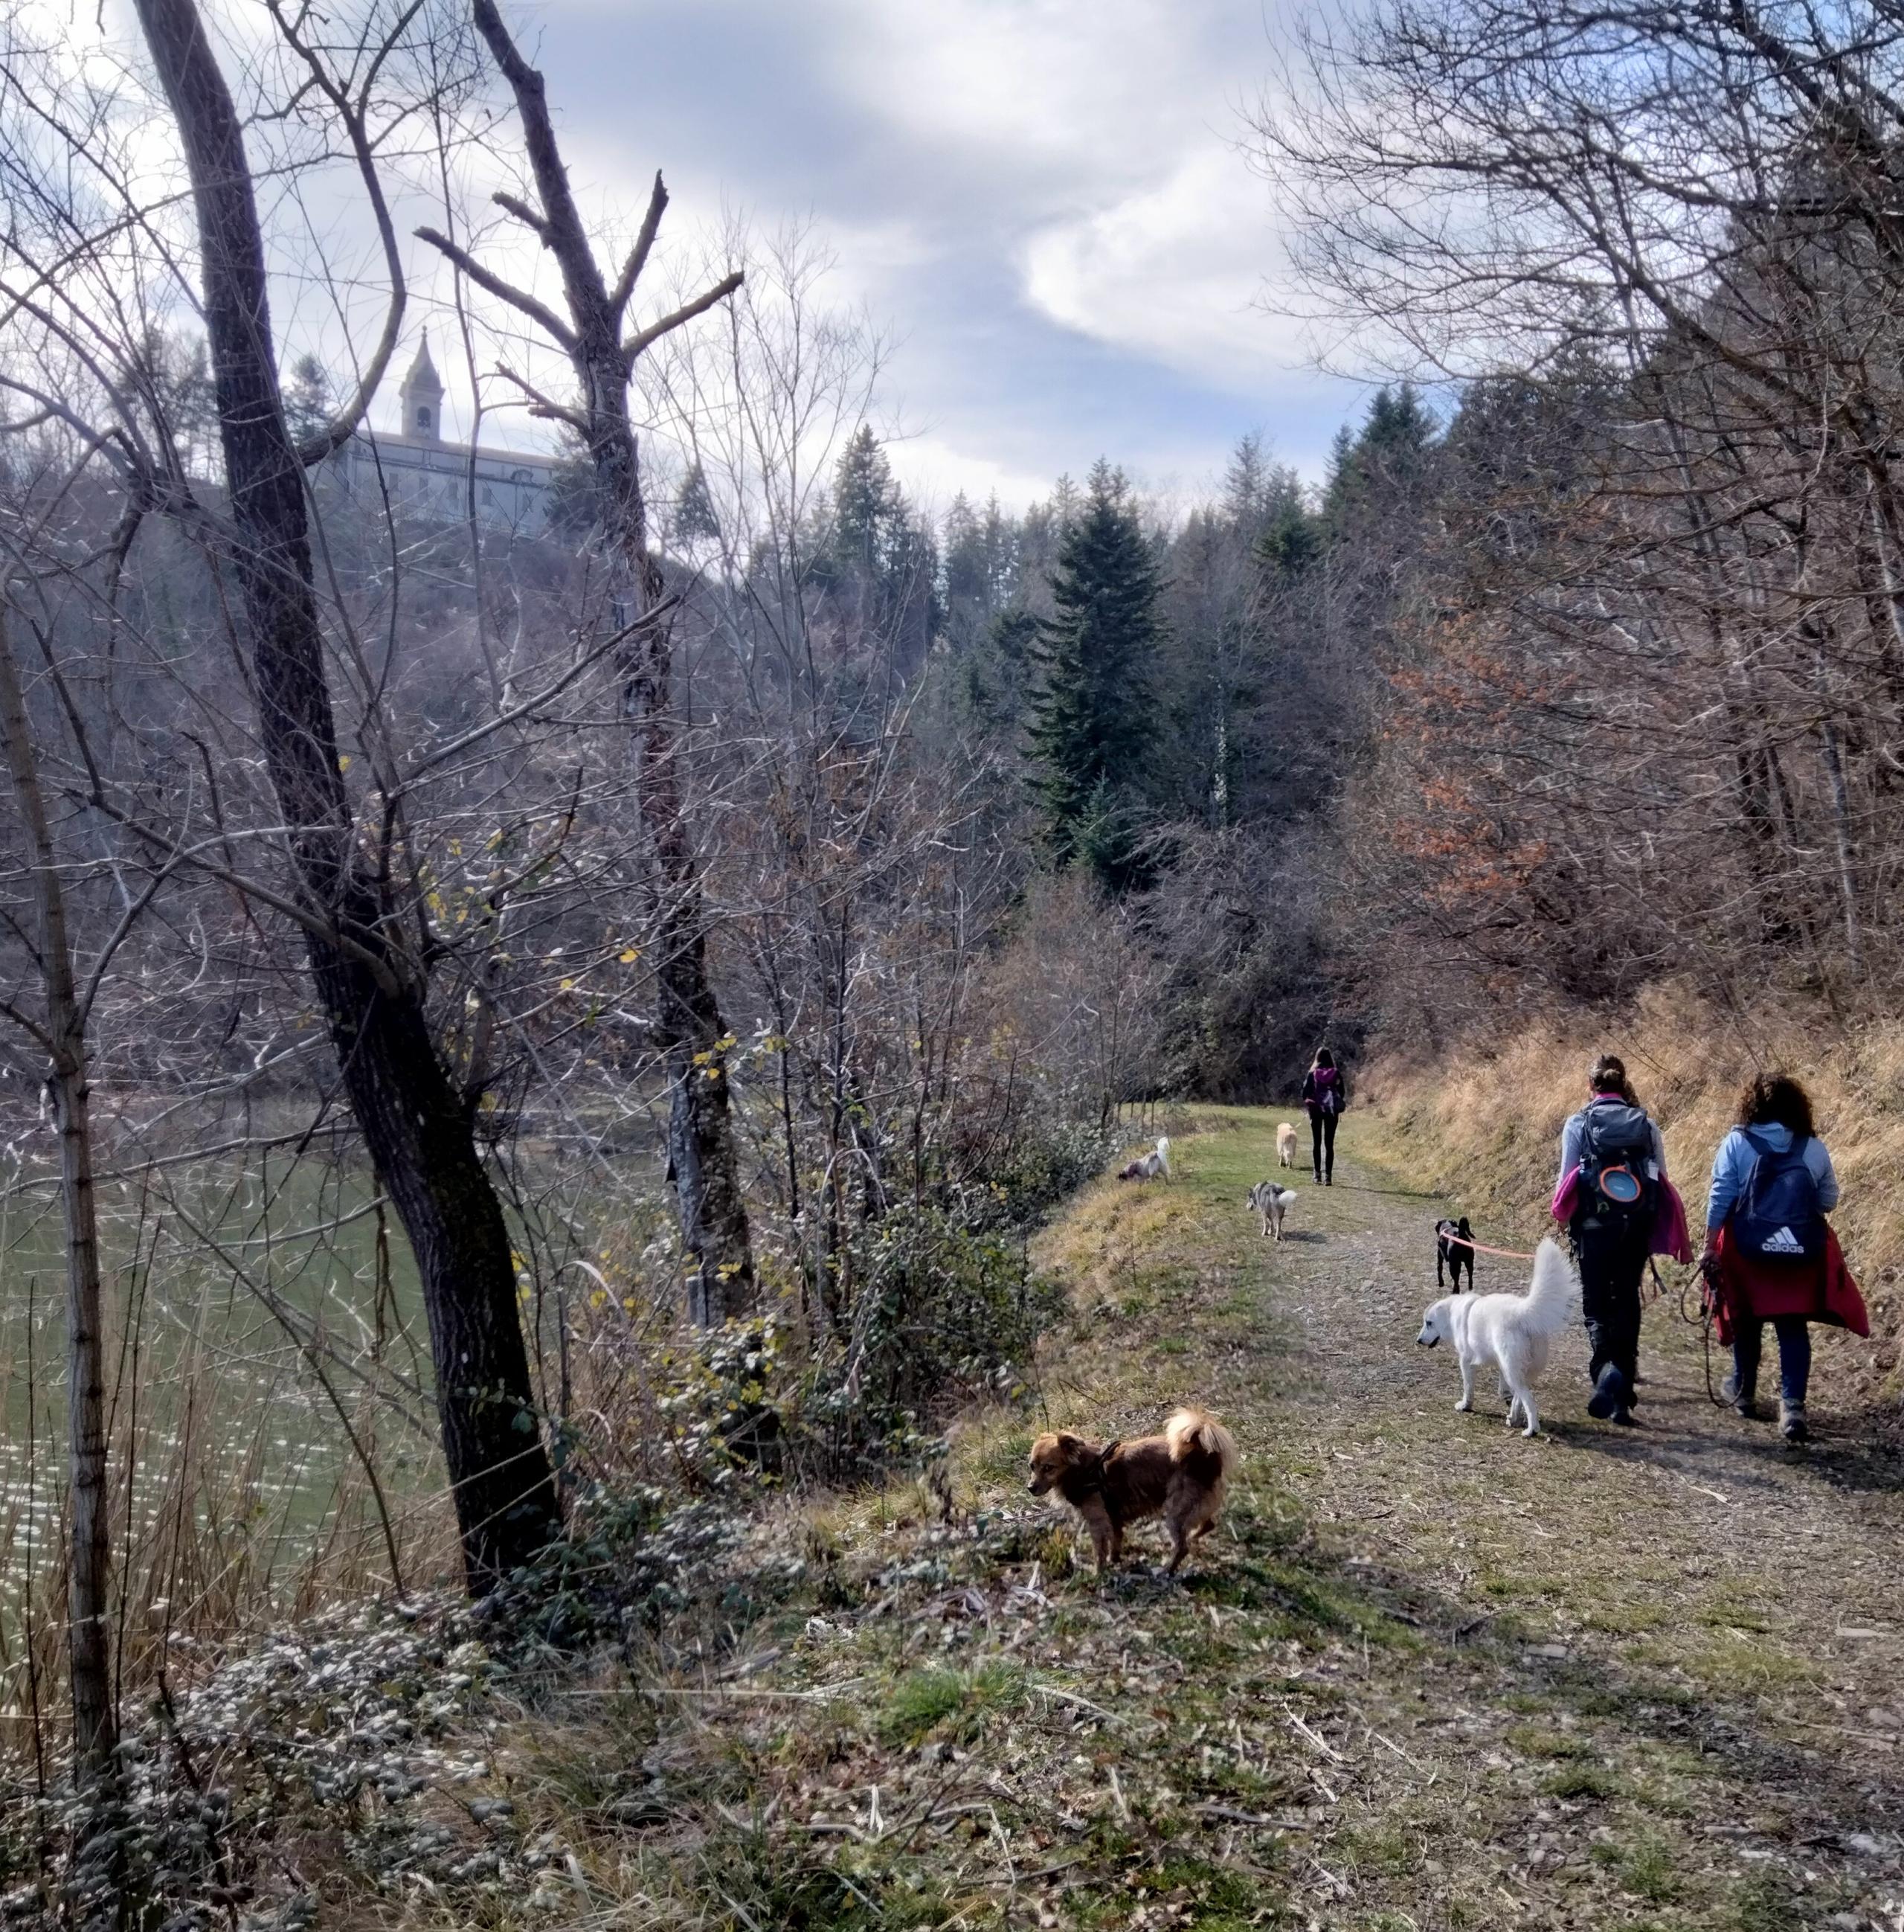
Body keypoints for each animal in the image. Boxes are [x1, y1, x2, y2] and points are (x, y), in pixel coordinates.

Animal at [1027, 1414, 1235, 1576]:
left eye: (1048, 1468)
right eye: (1032, 1466)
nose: (1030, 1488)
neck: (1082, 1470)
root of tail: (1203, 1456)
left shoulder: (1098, 1523)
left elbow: (1099, 1551)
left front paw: (1098, 1573)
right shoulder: (1113, 1518)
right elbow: (1116, 1540)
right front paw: (1114, 1560)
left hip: (1175, 1511)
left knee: (1182, 1547)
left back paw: (1167, 1570)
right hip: (1192, 1507)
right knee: (1207, 1525)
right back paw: (1191, 1538)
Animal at [1413, 1236, 1575, 1437]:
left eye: (1429, 1323)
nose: (1418, 1341)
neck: (1453, 1313)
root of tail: (1522, 1312)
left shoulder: (1466, 1362)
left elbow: (1468, 1388)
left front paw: (1465, 1406)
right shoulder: (1500, 1366)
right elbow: (1503, 1389)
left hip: (1512, 1369)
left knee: (1528, 1399)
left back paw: (1531, 1429)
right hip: (1517, 1369)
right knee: (1520, 1396)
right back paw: (1514, 1419)